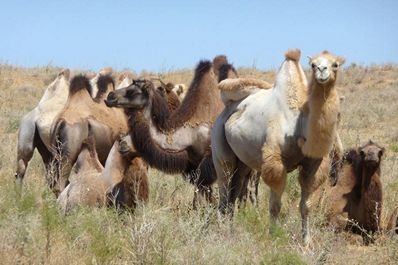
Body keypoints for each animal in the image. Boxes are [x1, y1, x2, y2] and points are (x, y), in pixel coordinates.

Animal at [211, 48, 346, 242]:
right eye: (313, 65)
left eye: (335, 64)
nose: (322, 70)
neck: (299, 124)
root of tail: (227, 109)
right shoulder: (275, 162)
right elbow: (275, 205)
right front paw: (273, 235)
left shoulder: (313, 164)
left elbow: (306, 205)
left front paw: (306, 241)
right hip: (220, 148)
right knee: (224, 188)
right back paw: (222, 230)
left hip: (243, 162)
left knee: (233, 193)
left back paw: (230, 228)